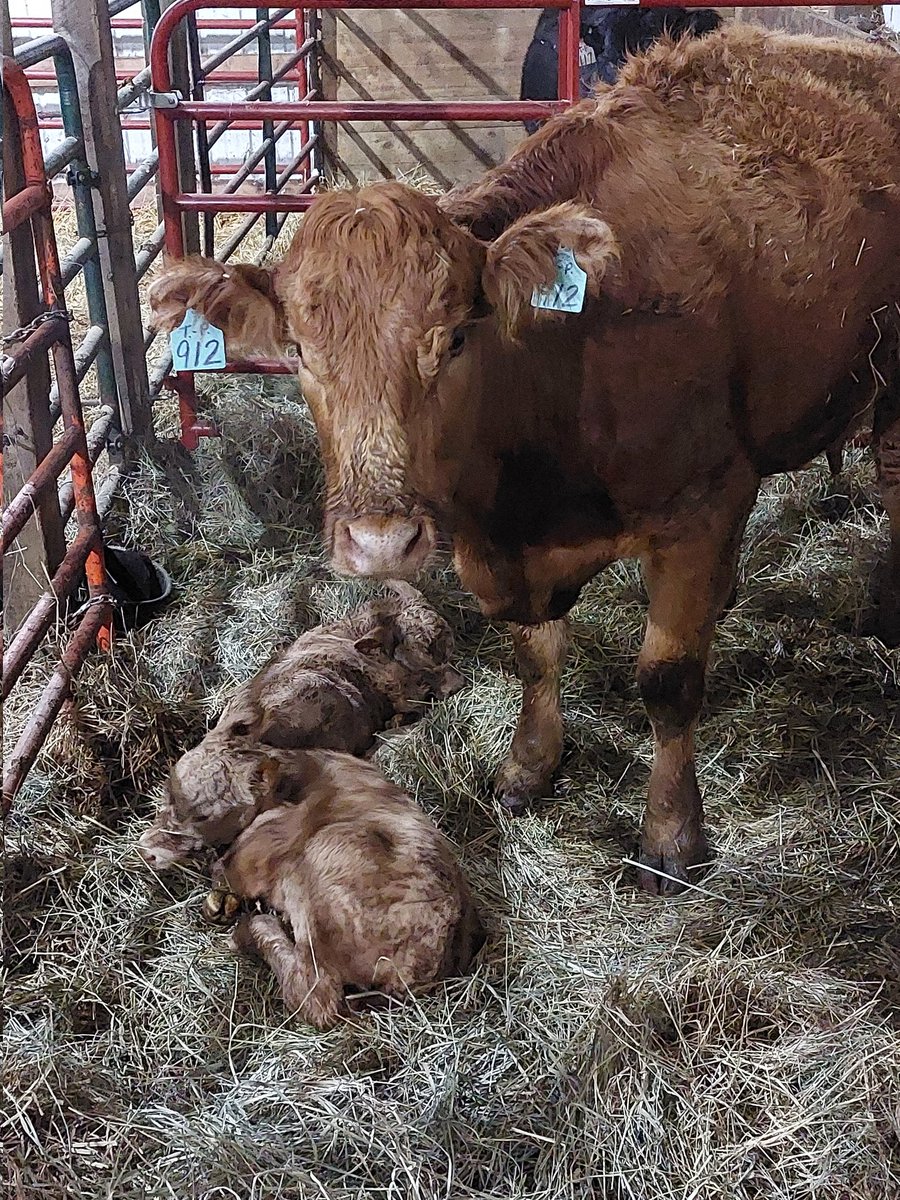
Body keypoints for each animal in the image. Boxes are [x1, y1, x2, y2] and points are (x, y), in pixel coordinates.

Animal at [149, 26, 900, 895]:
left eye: (453, 338)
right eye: (299, 351)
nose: (380, 542)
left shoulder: (703, 505)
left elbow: (668, 680)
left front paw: (672, 834)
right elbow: (535, 655)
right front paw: (529, 766)